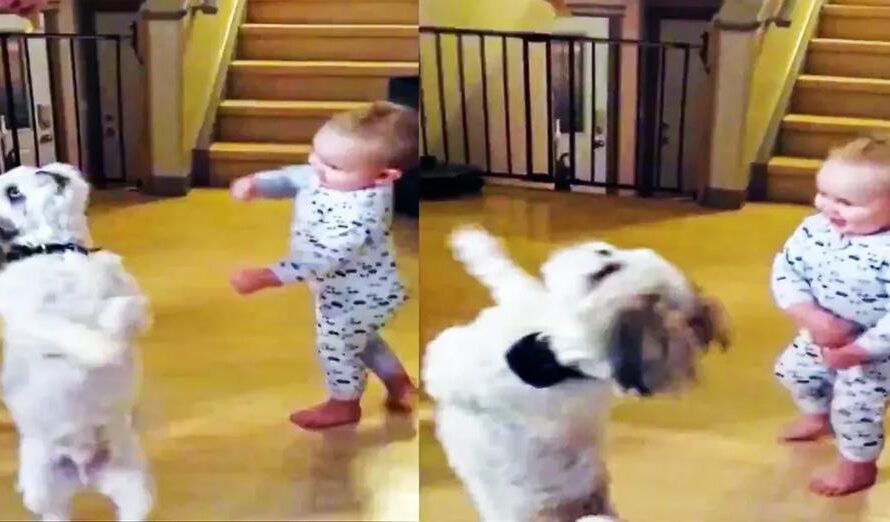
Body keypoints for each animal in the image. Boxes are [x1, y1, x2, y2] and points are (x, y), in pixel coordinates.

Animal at [0, 164, 153, 520]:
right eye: (13, 192)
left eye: (38, 169)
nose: (48, 170)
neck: (60, 250)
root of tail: (84, 472)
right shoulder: (36, 320)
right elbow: (72, 331)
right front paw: (104, 348)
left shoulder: (133, 300)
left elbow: (125, 309)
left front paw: (114, 332)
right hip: (41, 490)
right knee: (53, 512)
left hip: (133, 487)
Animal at [424, 226, 728, 520]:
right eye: (612, 254)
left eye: (607, 270)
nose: (600, 248)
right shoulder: (530, 306)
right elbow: (507, 275)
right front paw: (472, 242)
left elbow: (444, 366)